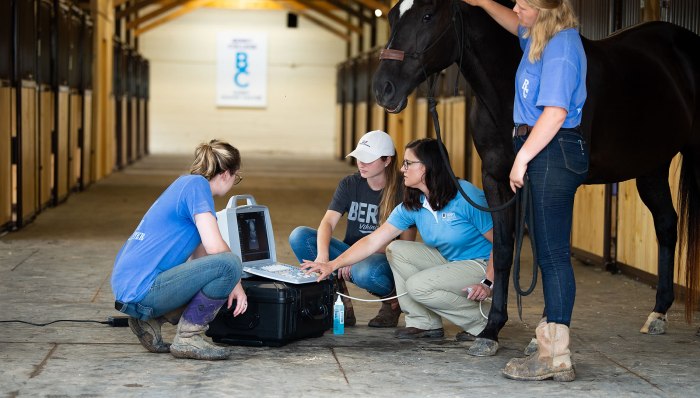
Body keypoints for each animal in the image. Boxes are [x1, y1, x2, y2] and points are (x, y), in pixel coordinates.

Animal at [374, 0, 700, 354]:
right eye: (392, 15)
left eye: (427, 16)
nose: (383, 89)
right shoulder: (496, 179)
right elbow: (503, 250)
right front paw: (491, 330)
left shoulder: (548, 185)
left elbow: (548, 255)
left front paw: (546, 331)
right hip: (652, 167)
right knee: (666, 225)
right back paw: (658, 313)